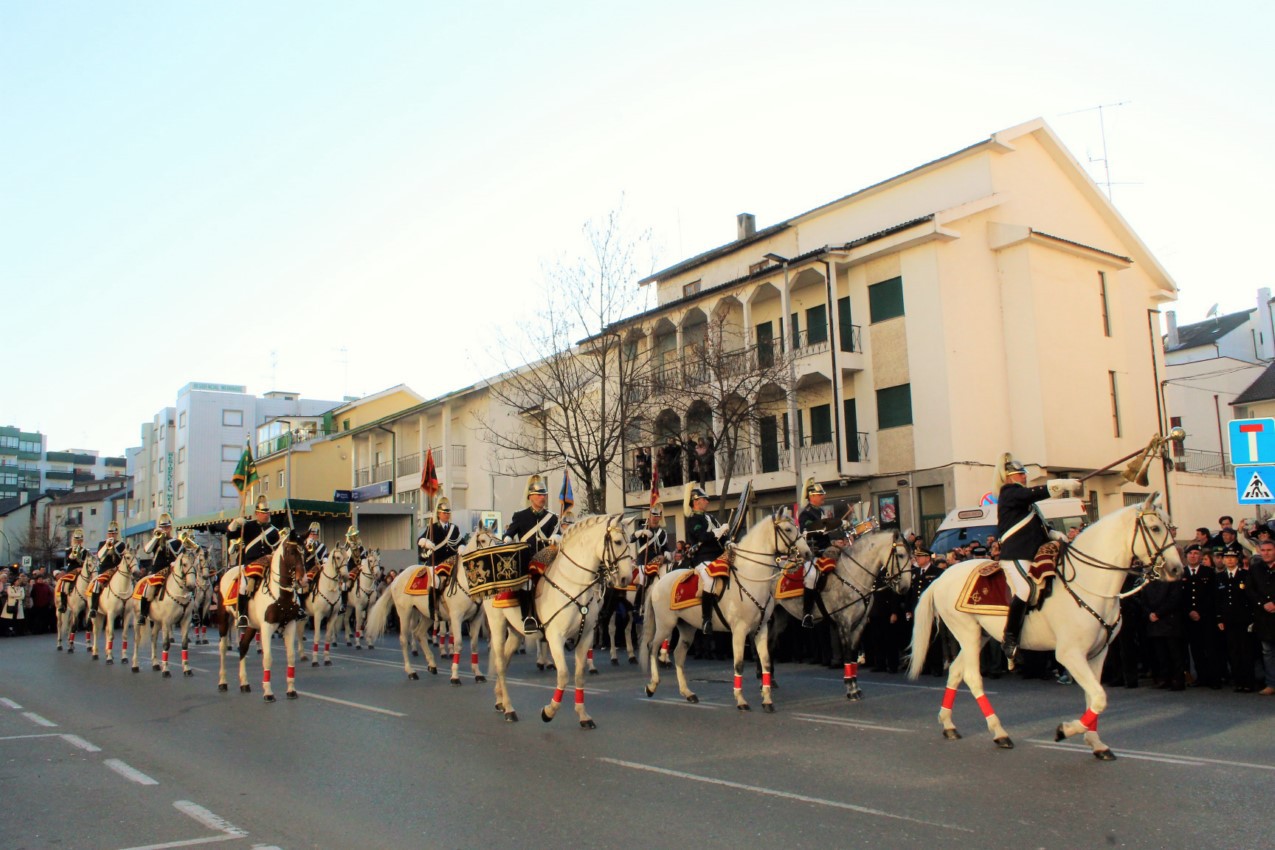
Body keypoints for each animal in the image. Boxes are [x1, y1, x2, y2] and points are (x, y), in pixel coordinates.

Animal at [130, 547, 201, 683]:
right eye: (184, 564)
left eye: (195, 564)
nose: (191, 586)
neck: (179, 592)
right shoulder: (167, 622)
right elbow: (166, 644)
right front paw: (166, 670)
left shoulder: (185, 620)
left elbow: (184, 644)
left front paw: (187, 669)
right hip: (137, 618)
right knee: (136, 640)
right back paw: (135, 665)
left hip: (157, 622)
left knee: (153, 638)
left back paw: (155, 664)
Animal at [481, 514, 632, 728]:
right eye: (618, 542)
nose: (626, 578)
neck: (575, 585)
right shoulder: (555, 637)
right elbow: (563, 675)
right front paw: (548, 712)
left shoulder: (585, 636)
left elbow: (579, 676)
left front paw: (583, 716)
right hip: (497, 625)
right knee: (501, 664)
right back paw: (509, 709)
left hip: (516, 631)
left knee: (506, 659)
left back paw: (500, 700)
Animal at [642, 514, 810, 713]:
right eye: (788, 529)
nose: (807, 553)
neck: (751, 576)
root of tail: (659, 582)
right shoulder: (739, 630)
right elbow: (739, 664)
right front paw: (741, 700)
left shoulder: (760, 629)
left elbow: (766, 662)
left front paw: (767, 700)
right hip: (665, 625)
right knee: (652, 647)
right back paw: (652, 685)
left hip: (687, 628)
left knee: (678, 655)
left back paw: (688, 693)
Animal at [770, 535, 912, 703]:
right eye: (901, 555)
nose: (905, 587)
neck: (852, 577)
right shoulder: (844, 623)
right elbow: (847, 654)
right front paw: (851, 689)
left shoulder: (860, 624)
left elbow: (853, 653)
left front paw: (856, 687)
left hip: (780, 618)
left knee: (769, 645)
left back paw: (769, 680)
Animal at [907, 494, 1183, 759]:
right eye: (1155, 528)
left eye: (1171, 527)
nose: (1176, 569)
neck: (1089, 581)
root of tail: (942, 577)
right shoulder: (1070, 654)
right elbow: (1099, 698)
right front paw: (1065, 730)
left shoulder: (1097, 654)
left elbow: (1093, 698)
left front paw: (1096, 743)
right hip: (967, 633)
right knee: (972, 677)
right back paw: (999, 732)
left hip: (979, 636)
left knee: (955, 670)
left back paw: (949, 724)